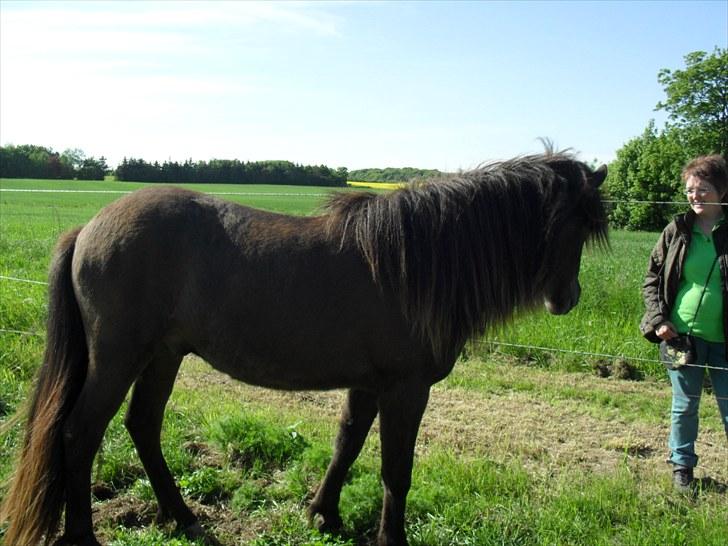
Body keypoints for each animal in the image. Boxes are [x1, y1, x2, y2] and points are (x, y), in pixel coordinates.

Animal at [0, 149, 608, 544]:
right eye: (573, 224)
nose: (568, 299)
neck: (414, 264)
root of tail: (89, 227)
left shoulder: (369, 384)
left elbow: (347, 445)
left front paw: (323, 515)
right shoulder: (406, 389)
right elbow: (396, 468)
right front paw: (389, 538)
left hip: (163, 356)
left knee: (142, 426)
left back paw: (183, 516)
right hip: (118, 358)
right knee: (79, 433)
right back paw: (84, 535)